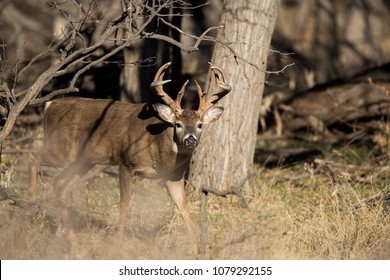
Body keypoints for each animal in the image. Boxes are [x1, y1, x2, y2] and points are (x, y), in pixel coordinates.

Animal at [29, 61, 233, 254]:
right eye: (178, 124)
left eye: (200, 125)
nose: (190, 140)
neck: (158, 149)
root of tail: (49, 107)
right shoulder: (126, 163)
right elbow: (125, 203)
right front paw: (119, 243)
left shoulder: (173, 176)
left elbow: (183, 208)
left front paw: (196, 249)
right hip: (60, 149)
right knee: (34, 156)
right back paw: (32, 207)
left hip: (84, 160)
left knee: (60, 183)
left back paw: (69, 238)